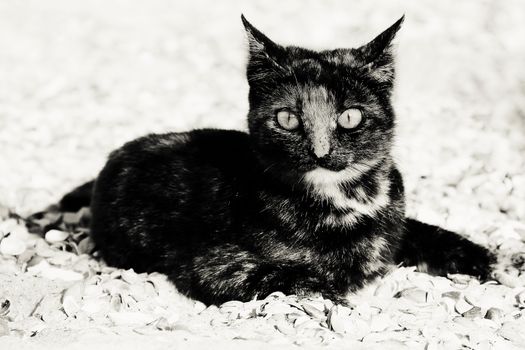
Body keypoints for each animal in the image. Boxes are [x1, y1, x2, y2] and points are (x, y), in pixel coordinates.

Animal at [59, 15, 494, 304]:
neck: (351, 200)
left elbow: (421, 231)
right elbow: (303, 274)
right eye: (287, 119)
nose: (320, 150)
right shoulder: (215, 266)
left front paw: (486, 259)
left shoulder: (396, 220)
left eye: (350, 117)